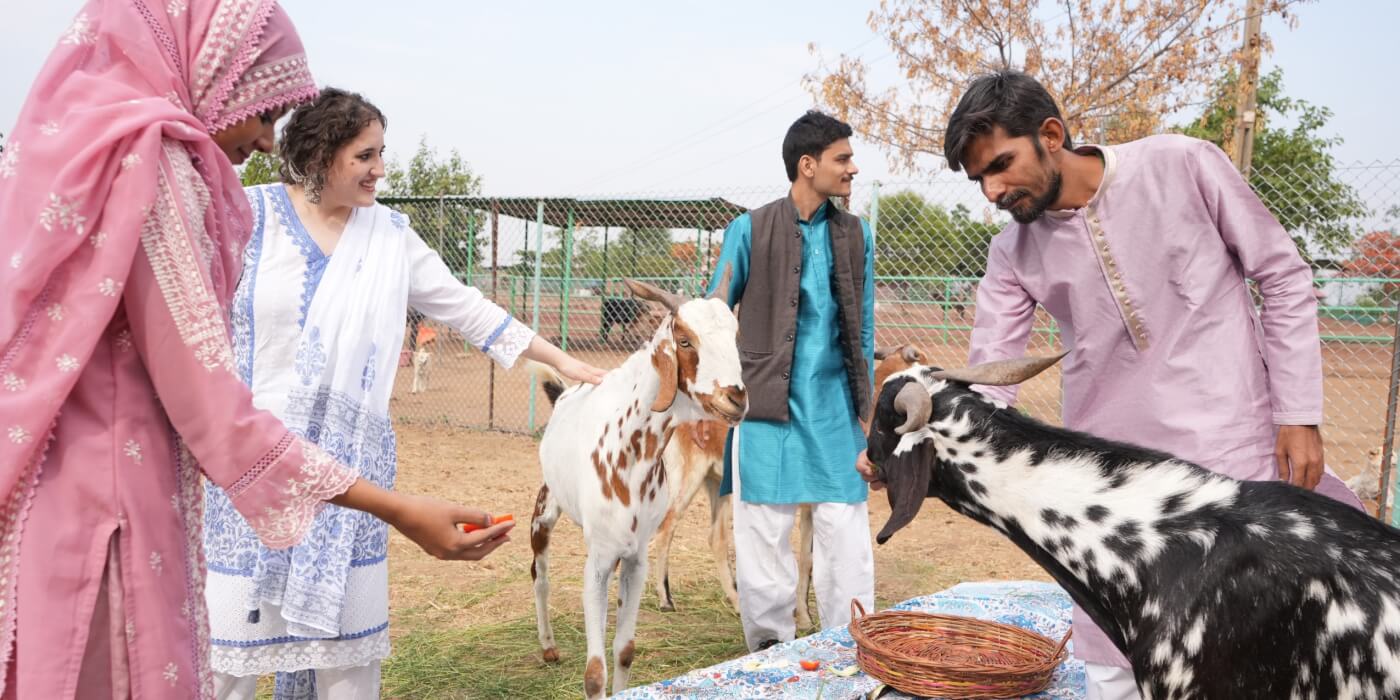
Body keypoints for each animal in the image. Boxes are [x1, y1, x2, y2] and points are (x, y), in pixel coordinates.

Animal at [526, 275, 744, 697]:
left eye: (736, 333)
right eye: (685, 340)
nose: (736, 397)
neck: (629, 454)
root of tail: (563, 395)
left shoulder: (636, 557)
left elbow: (625, 651)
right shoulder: (597, 562)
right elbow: (594, 672)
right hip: (544, 511)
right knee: (539, 576)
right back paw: (547, 647)